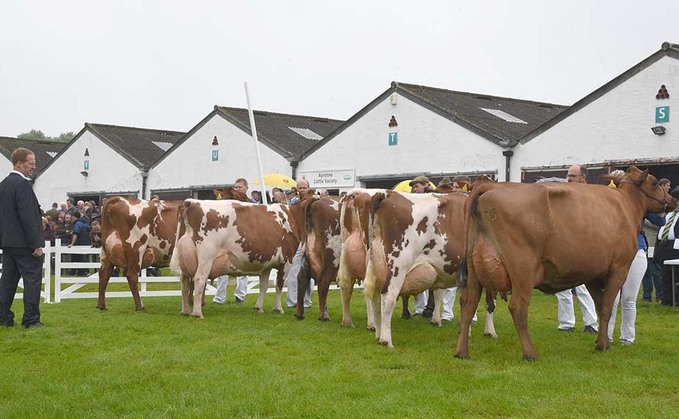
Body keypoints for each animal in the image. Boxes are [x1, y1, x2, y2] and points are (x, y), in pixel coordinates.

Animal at [169, 199, 300, 318]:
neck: (293, 215)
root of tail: (191, 201)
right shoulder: (287, 260)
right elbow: (279, 285)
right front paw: (278, 308)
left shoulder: (266, 264)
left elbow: (263, 286)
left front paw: (259, 308)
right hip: (206, 257)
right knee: (199, 279)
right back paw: (197, 313)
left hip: (184, 260)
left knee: (184, 282)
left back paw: (185, 311)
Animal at [456, 167, 676, 360]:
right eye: (656, 182)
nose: (673, 200)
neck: (626, 205)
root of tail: (489, 187)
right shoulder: (618, 268)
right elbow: (607, 308)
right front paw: (603, 345)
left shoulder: (593, 273)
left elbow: (599, 306)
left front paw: (600, 341)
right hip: (522, 269)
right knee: (518, 307)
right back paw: (530, 353)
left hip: (474, 269)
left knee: (468, 302)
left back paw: (462, 352)